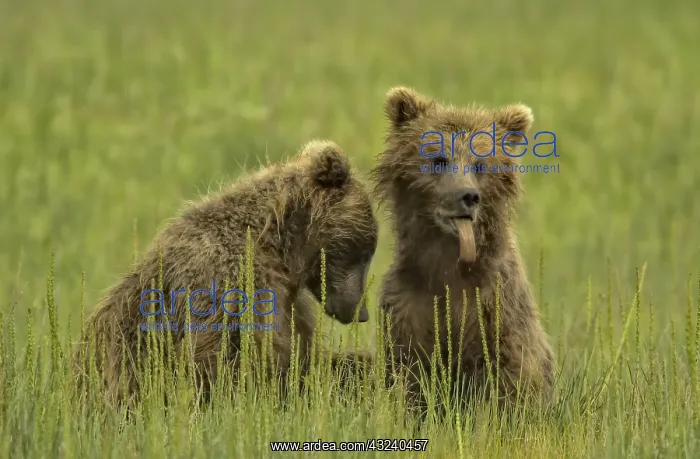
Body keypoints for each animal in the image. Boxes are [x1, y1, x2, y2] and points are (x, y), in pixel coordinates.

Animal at [73, 139, 379, 406]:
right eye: (365, 250)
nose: (362, 312)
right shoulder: (232, 285)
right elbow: (225, 363)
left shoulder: (291, 302)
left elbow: (306, 357)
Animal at [370, 87, 556, 412]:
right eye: (439, 159)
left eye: (480, 164)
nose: (468, 196)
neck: (448, 262)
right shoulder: (408, 307)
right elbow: (409, 374)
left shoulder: (495, 308)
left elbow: (506, 380)